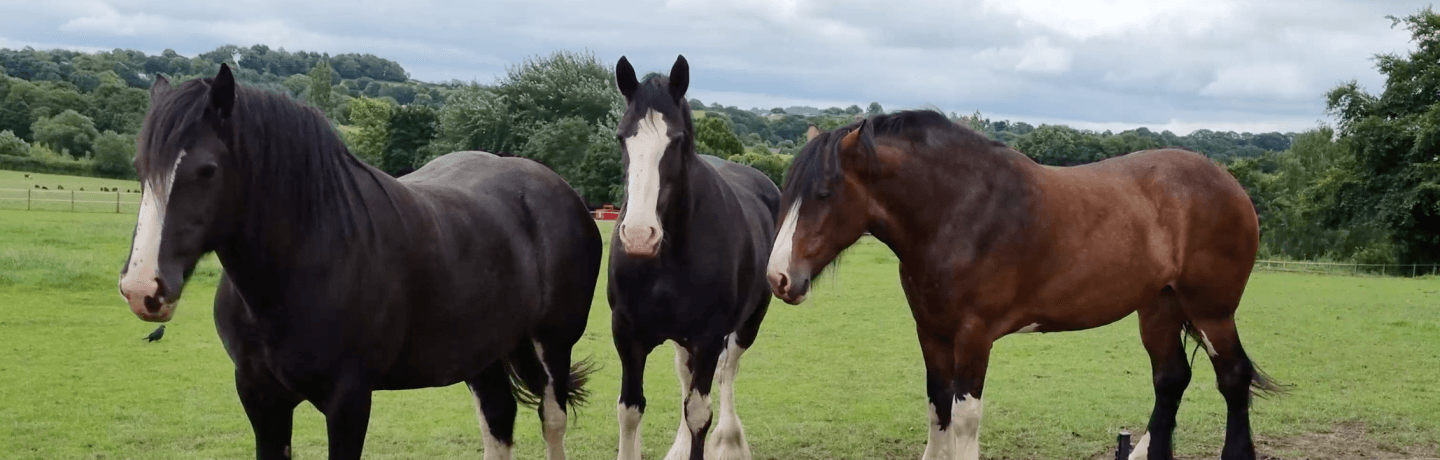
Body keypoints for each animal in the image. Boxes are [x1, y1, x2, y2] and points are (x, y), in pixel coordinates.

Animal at [115, 65, 601, 460]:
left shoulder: (348, 401)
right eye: (139, 166)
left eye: (207, 170)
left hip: (553, 343)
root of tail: (562, 192)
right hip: (481, 351)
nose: (142, 288)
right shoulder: (260, 398)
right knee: (498, 419)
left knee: (552, 420)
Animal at [610, 56, 783, 460]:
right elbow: (629, 410)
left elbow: (700, 412)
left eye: (676, 140)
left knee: (727, 371)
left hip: (746, 325)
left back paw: (730, 439)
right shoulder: (627, 334)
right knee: (685, 376)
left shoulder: (708, 337)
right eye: (622, 137)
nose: (639, 235)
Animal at [771, 111, 1278, 460]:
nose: (779, 278)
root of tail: (1229, 184)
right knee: (1171, 380)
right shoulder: (931, 332)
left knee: (1231, 379)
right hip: (1159, 308)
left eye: (824, 194)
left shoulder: (974, 336)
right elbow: (937, 407)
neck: (959, 210)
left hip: (1211, 311)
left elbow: (964, 417)